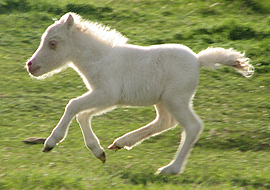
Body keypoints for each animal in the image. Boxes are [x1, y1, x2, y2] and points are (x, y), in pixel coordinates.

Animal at [25, 12, 253, 174]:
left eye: (53, 43)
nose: (31, 66)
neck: (100, 59)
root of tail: (198, 60)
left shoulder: (107, 93)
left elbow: (73, 106)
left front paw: (51, 143)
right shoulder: (107, 97)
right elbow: (82, 114)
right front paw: (98, 151)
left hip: (175, 98)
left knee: (192, 126)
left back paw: (170, 169)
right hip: (163, 100)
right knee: (165, 121)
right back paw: (121, 143)